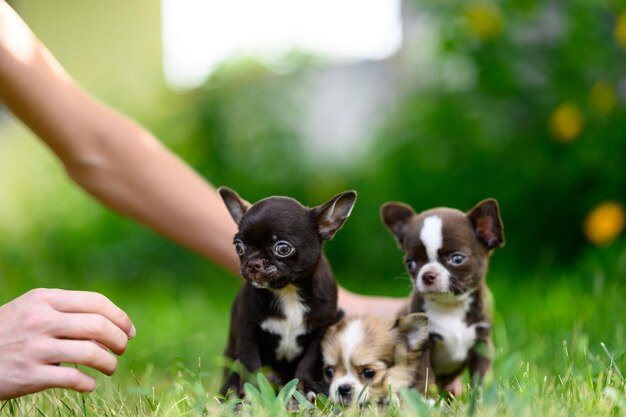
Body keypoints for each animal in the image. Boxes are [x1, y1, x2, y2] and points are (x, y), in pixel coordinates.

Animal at [218, 187, 356, 398]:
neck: (288, 291)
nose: (252, 263)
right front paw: (253, 393)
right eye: (238, 246)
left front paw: (306, 387)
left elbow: (309, 361)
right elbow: (250, 364)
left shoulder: (320, 331)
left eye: (283, 248)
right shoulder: (247, 330)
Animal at [380, 198, 502, 394]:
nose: (427, 275)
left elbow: (481, 376)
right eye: (410, 263)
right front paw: (426, 399)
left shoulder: (481, 344)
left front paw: (481, 398)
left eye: (457, 259)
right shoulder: (422, 346)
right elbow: (425, 375)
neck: (451, 306)